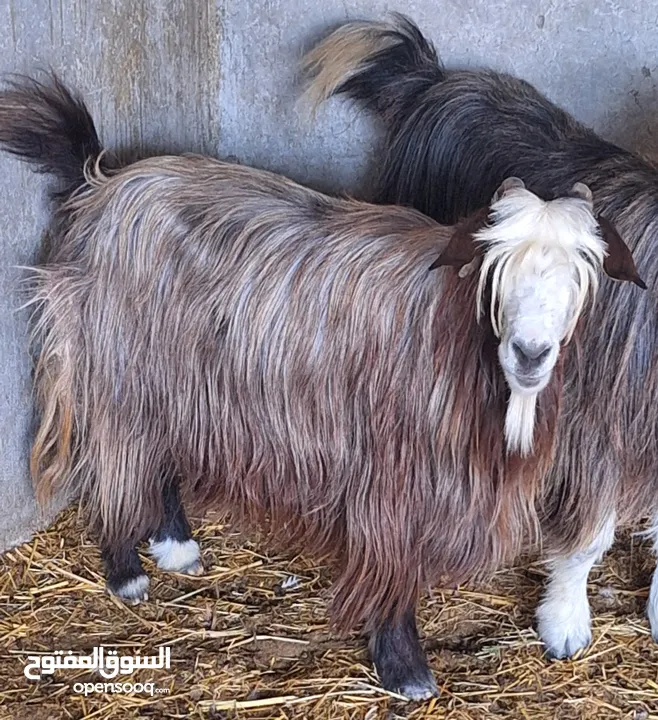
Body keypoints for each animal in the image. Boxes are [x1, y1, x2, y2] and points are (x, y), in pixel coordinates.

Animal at [0, 74, 640, 696]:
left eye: (584, 272)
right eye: (495, 267)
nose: (531, 352)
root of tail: (102, 182)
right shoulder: (392, 473)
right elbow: (394, 564)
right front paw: (404, 667)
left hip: (175, 382)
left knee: (156, 457)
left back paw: (176, 546)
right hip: (117, 369)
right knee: (113, 460)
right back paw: (126, 573)